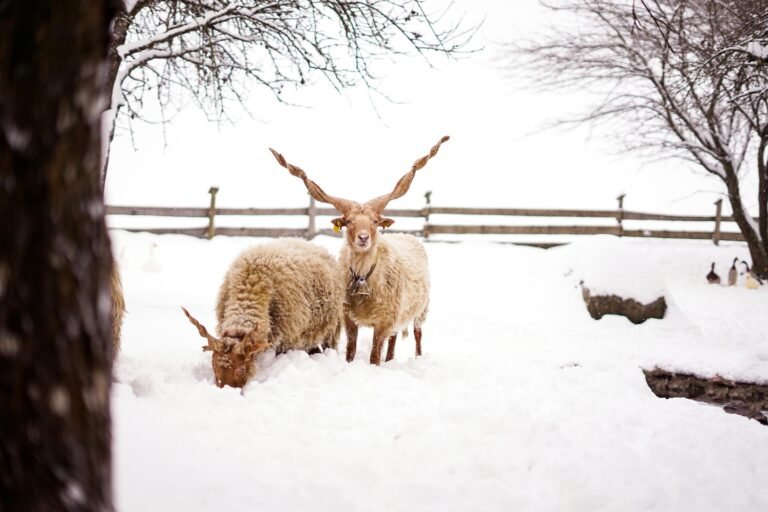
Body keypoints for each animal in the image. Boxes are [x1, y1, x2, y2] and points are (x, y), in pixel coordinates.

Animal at [269, 136, 449, 365]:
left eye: (375, 221)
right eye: (348, 221)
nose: (363, 238)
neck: (364, 277)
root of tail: (404, 235)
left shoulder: (383, 319)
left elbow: (374, 353)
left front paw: (375, 366)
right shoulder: (349, 317)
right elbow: (351, 349)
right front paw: (351, 363)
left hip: (421, 308)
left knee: (417, 334)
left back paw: (417, 358)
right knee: (394, 338)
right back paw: (390, 360)